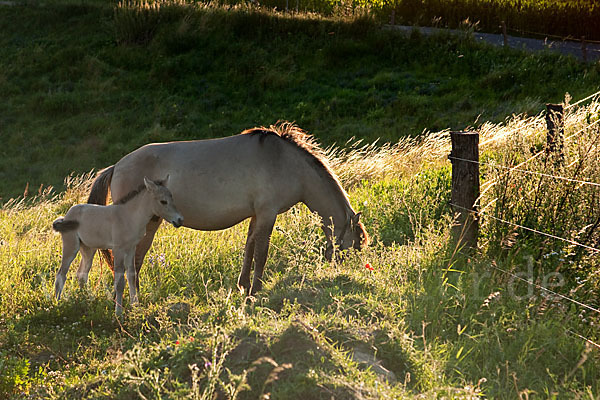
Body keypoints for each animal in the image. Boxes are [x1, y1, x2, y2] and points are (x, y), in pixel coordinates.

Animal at [52, 177, 184, 314]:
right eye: (163, 201)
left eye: (172, 198)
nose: (179, 220)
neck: (130, 217)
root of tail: (66, 216)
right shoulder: (118, 250)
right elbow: (120, 282)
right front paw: (119, 312)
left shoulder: (131, 248)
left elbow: (131, 276)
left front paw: (135, 307)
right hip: (71, 246)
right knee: (61, 274)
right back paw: (57, 304)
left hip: (88, 249)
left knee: (81, 274)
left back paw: (84, 300)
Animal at [86, 123, 368, 296]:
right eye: (354, 244)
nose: (340, 272)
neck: (286, 163)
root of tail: (116, 166)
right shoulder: (268, 213)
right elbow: (262, 252)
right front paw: (256, 290)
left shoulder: (256, 215)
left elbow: (249, 249)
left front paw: (243, 286)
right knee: (131, 262)